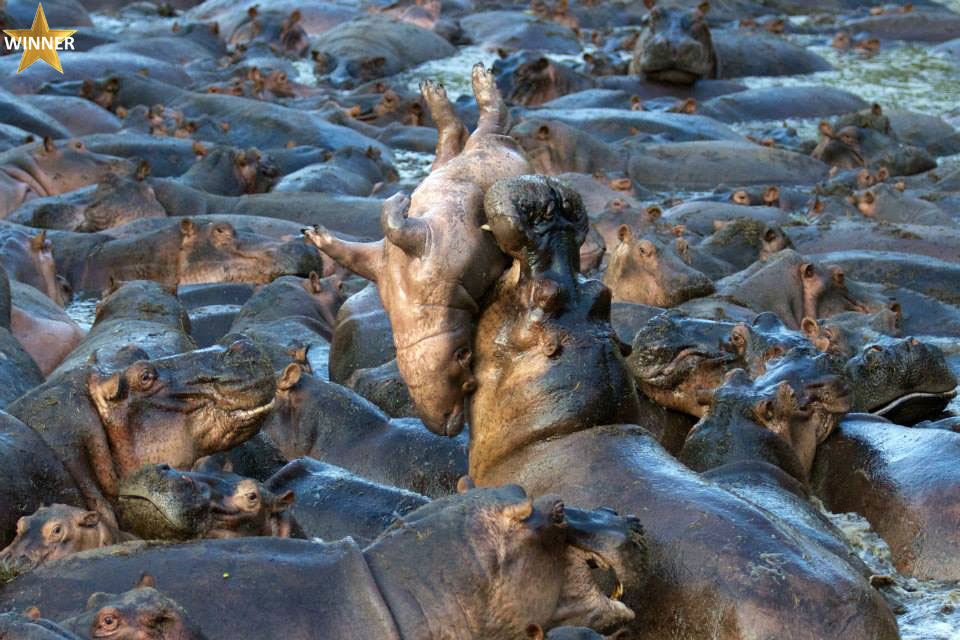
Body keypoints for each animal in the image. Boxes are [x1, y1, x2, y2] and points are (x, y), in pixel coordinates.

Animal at [305, 66, 531, 436]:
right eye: (407, 386)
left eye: (468, 385)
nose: (446, 426)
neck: (422, 309)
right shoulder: (381, 263)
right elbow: (356, 250)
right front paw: (317, 234)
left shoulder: (428, 240)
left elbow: (395, 225)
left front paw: (398, 200)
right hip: (454, 159)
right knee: (454, 135)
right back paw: (435, 90)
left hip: (486, 144)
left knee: (488, 120)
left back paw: (477, 81)